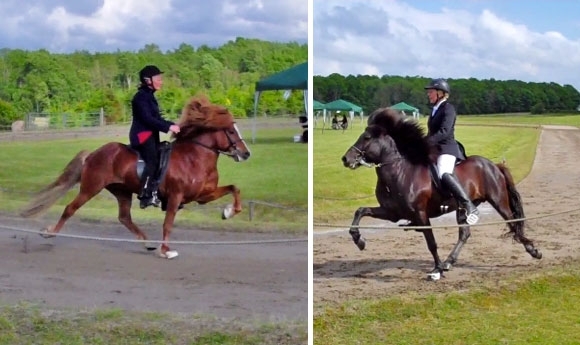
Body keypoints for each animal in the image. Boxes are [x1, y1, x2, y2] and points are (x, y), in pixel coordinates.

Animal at [19, 94, 251, 258]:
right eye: (231, 131)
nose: (246, 154)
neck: (194, 157)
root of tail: (94, 153)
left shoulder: (202, 195)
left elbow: (234, 188)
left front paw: (229, 212)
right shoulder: (175, 197)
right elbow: (168, 223)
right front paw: (166, 251)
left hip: (121, 191)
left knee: (124, 217)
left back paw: (147, 243)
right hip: (91, 187)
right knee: (70, 209)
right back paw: (49, 232)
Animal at [342, 107, 540, 280]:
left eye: (367, 137)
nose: (346, 159)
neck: (399, 172)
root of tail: (493, 165)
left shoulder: (420, 214)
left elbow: (431, 243)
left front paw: (436, 271)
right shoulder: (392, 213)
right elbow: (360, 211)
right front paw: (359, 240)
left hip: (498, 201)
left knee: (513, 222)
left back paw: (534, 251)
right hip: (463, 208)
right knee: (465, 233)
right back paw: (448, 262)